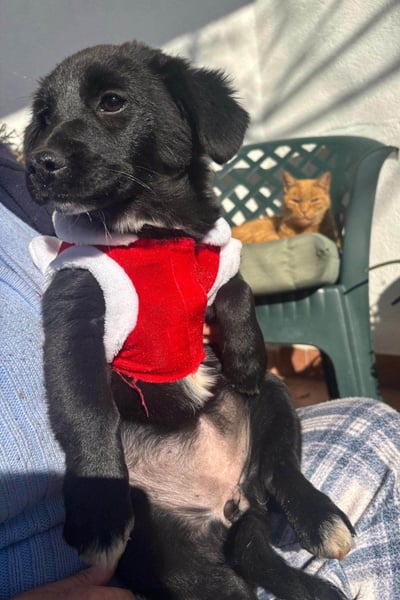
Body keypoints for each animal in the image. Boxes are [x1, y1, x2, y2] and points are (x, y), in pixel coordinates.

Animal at [24, 40, 355, 599]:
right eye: (43, 118)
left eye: (112, 102)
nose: (35, 163)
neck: (156, 231)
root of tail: (231, 503)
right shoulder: (76, 311)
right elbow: (88, 410)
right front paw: (99, 513)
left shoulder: (217, 258)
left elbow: (237, 285)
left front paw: (243, 356)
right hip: (179, 563)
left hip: (276, 399)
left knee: (280, 468)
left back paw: (320, 516)